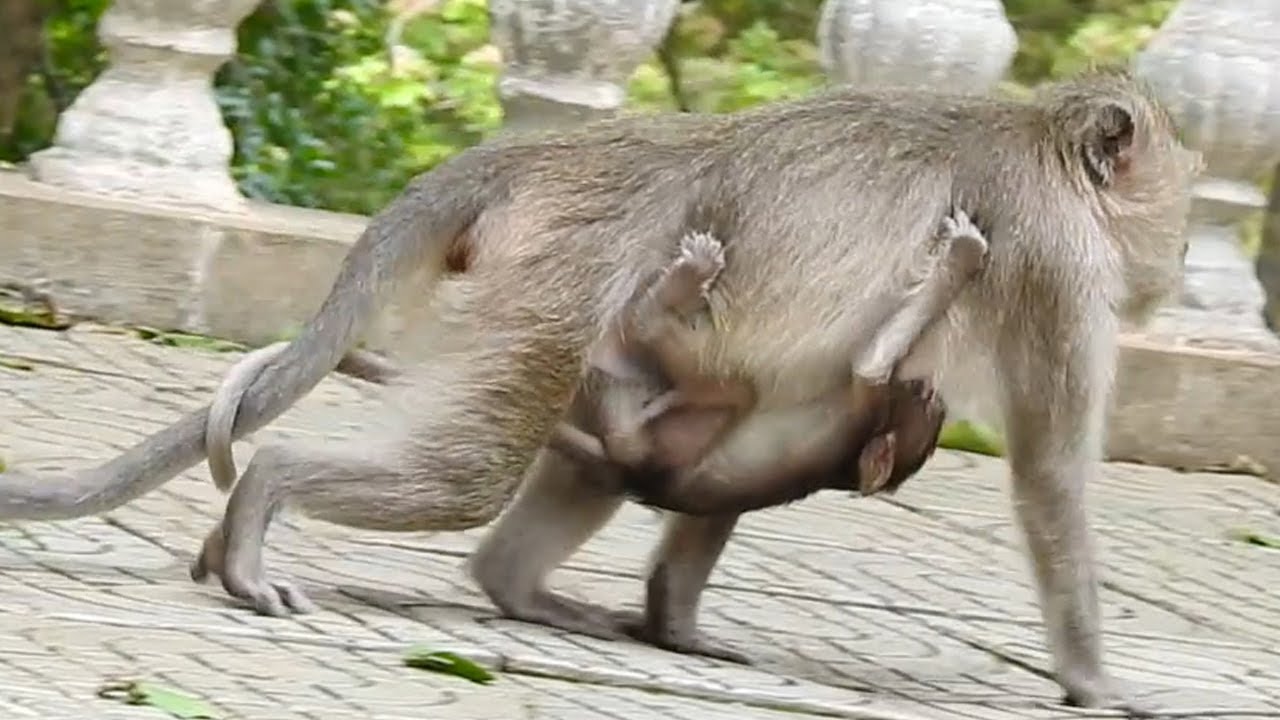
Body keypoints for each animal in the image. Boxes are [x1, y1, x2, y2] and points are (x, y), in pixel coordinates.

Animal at [0, 68, 1201, 715]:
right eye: (1177, 203)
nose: (1179, 262)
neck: (1042, 146)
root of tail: (555, 155)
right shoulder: (1057, 262)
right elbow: (1049, 479)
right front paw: (1094, 681)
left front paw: (677, 623)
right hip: (564, 276)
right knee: (473, 469)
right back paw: (265, 505)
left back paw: (514, 585)